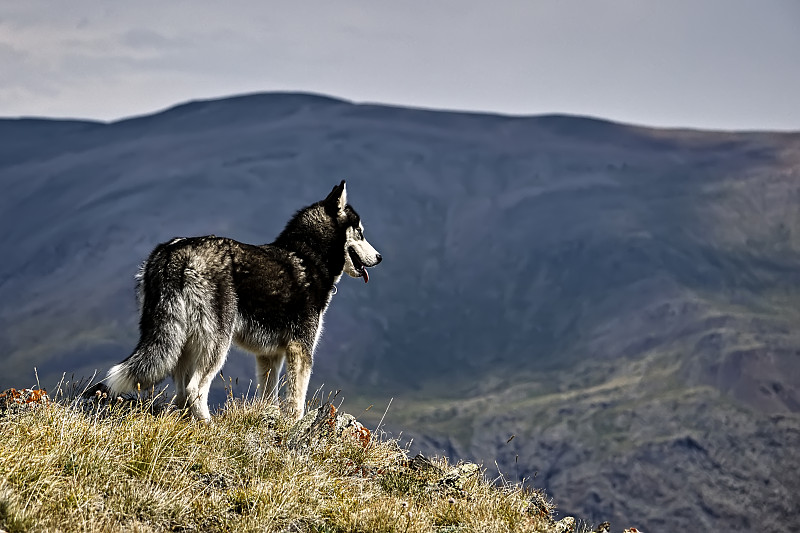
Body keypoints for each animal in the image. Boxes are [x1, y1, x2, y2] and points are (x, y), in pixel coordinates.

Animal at [106, 181, 382, 422]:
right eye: (360, 233)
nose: (379, 257)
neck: (308, 256)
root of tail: (174, 253)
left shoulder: (270, 355)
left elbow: (268, 396)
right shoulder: (300, 349)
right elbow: (296, 400)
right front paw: (294, 425)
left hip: (182, 343)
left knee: (182, 392)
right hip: (216, 344)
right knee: (195, 389)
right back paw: (210, 426)